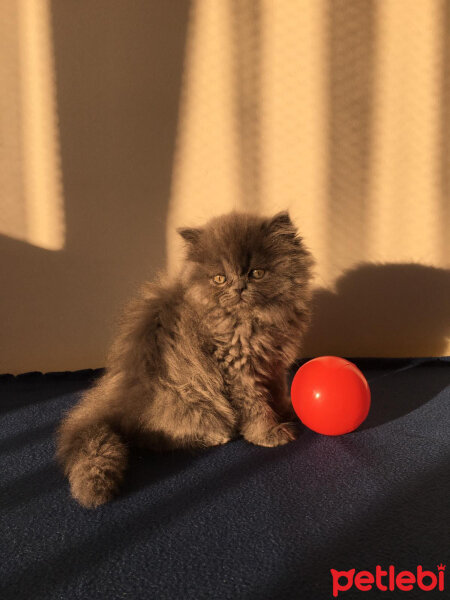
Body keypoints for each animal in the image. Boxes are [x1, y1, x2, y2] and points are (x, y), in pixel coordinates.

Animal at [56, 211, 314, 506]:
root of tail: (116, 400)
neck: (253, 320)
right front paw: (268, 433)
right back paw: (216, 436)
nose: (238, 288)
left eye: (257, 273)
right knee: (152, 436)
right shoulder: (237, 368)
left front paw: (287, 410)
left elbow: (277, 391)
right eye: (219, 279)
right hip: (190, 401)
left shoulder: (273, 364)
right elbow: (255, 405)